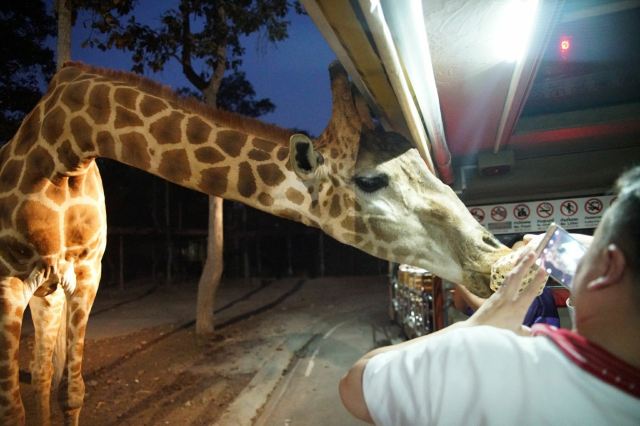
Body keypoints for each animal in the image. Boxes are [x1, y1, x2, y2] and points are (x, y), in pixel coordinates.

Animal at [0, 60, 510, 425]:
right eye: (370, 180)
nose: (497, 257)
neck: (63, 148)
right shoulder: (10, 284)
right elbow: (15, 406)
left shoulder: (87, 275)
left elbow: (69, 391)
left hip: (51, 295)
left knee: (42, 376)